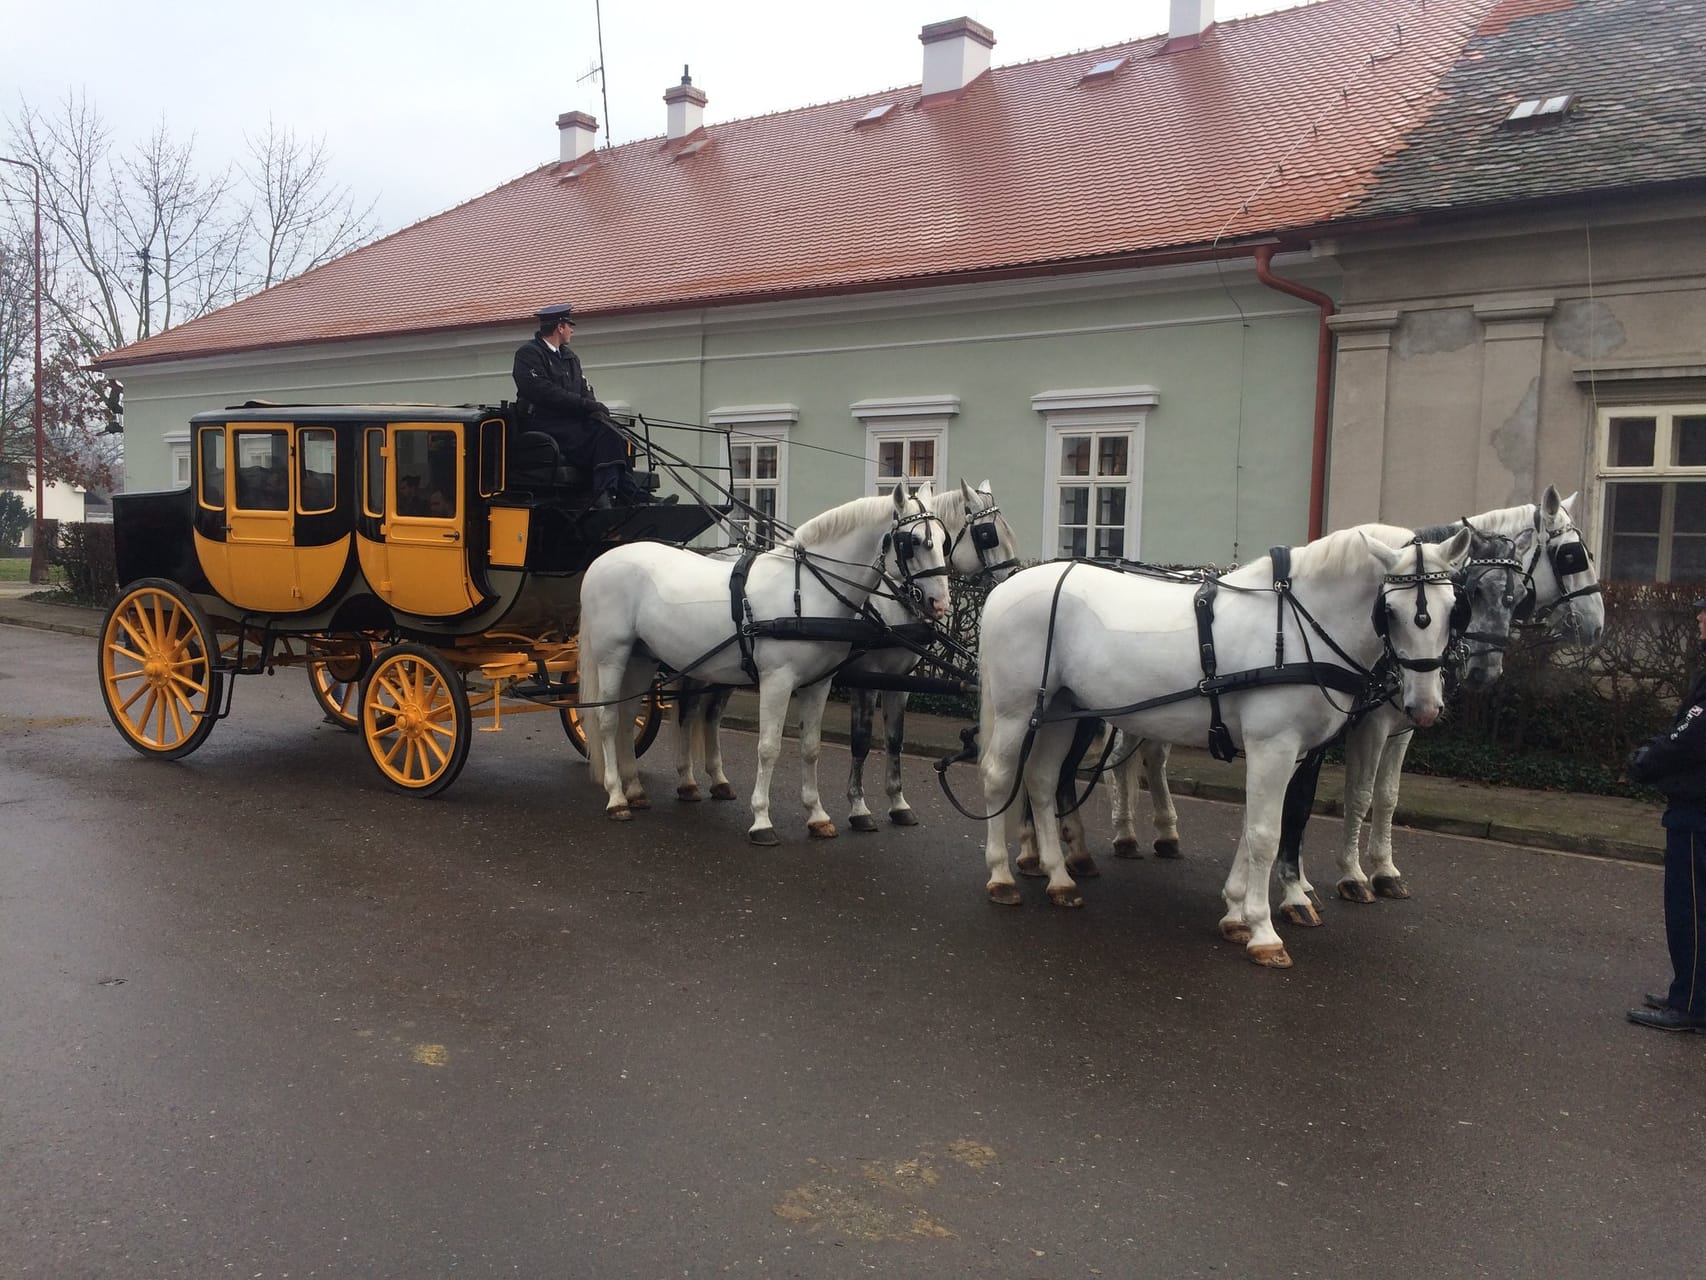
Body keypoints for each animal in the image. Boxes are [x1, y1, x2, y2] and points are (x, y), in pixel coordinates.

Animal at [580, 484, 955, 846]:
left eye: (944, 540)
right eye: (913, 542)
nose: (940, 603)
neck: (806, 592)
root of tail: (601, 560)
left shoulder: (819, 683)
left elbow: (810, 747)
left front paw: (817, 815)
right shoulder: (778, 681)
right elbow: (769, 748)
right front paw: (761, 819)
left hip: (642, 657)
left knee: (630, 715)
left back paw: (634, 789)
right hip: (612, 655)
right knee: (608, 719)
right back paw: (616, 797)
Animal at [975, 525, 1467, 969]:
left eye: (1452, 608)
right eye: (1391, 611)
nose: (1424, 707)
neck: (1298, 625)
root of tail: (1005, 588)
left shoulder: (1287, 753)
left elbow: (1253, 829)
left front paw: (1236, 913)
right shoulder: (1274, 746)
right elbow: (1267, 835)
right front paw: (1264, 931)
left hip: (1061, 708)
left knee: (1041, 780)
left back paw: (1059, 878)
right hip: (1018, 711)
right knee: (999, 779)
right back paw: (1001, 876)